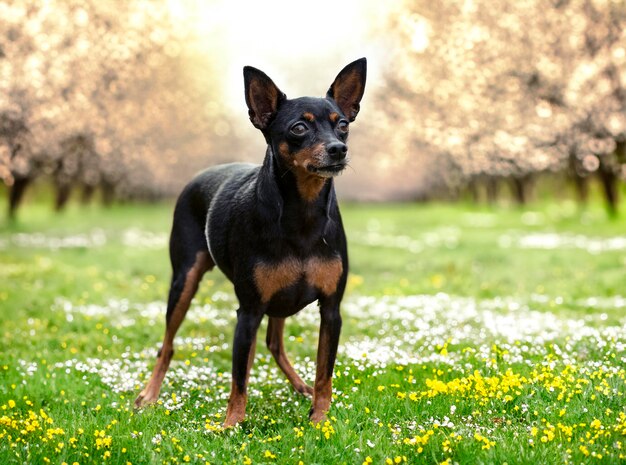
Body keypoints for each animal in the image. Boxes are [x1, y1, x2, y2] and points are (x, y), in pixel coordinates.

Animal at [133, 57, 366, 424]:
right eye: (299, 128)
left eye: (342, 124)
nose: (338, 149)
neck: (302, 213)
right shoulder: (249, 310)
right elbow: (239, 377)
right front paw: (231, 424)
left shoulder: (331, 310)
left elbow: (324, 373)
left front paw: (320, 421)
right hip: (184, 280)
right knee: (167, 345)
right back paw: (149, 395)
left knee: (273, 343)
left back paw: (300, 387)